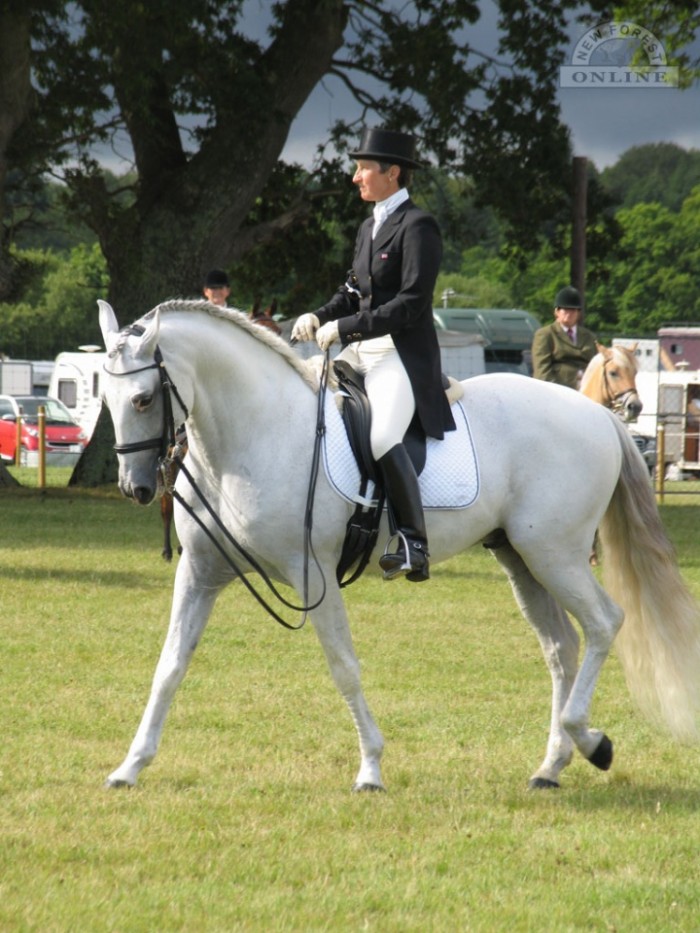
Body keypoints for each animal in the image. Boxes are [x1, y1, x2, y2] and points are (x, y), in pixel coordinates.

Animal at [97, 300, 700, 792]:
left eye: (145, 398)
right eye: (108, 397)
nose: (136, 487)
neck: (255, 433)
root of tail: (599, 416)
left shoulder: (312, 573)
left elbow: (343, 666)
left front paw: (370, 769)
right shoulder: (199, 573)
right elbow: (170, 664)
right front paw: (130, 766)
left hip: (557, 554)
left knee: (603, 623)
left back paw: (591, 742)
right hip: (522, 558)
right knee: (561, 646)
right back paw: (552, 765)